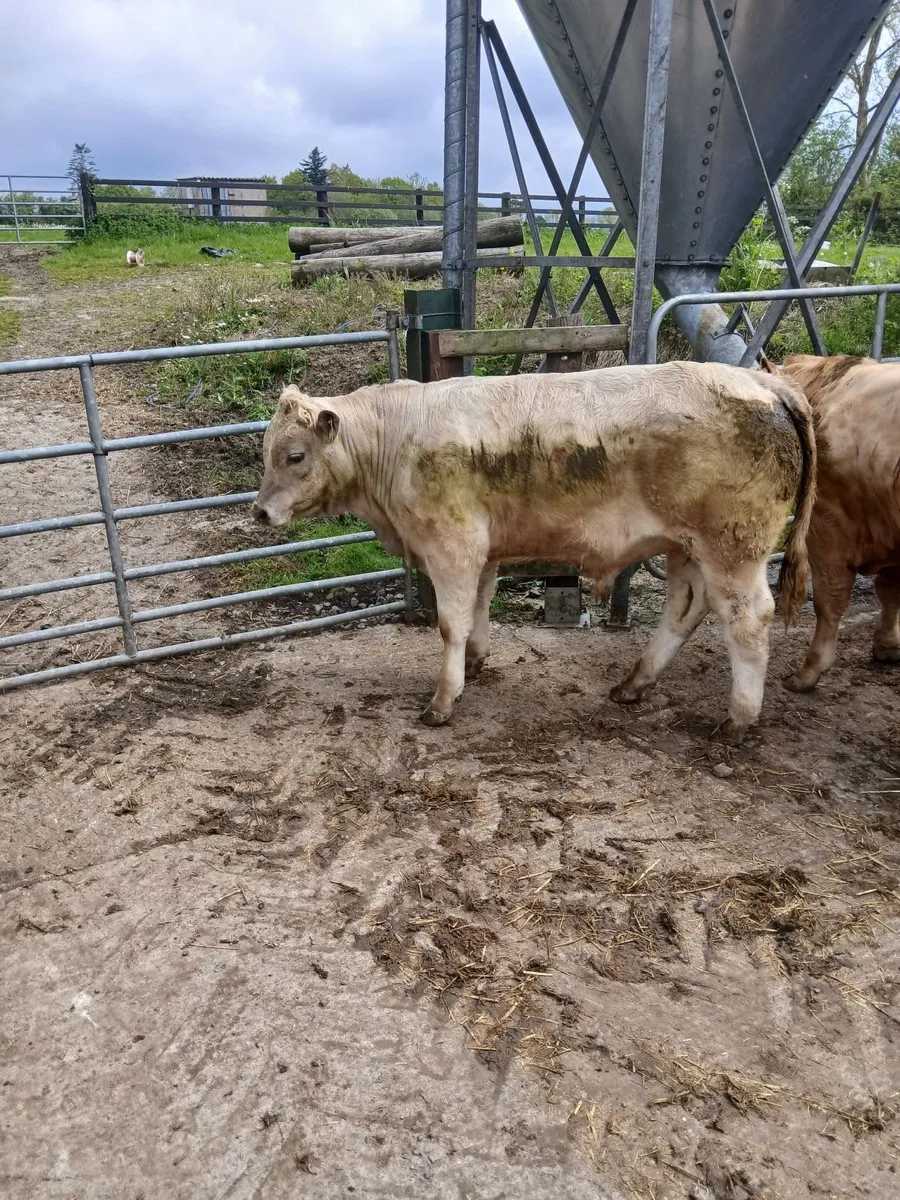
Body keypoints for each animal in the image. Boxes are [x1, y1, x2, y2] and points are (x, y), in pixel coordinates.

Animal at [252, 362, 815, 742]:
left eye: (295, 455)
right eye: (266, 453)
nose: (259, 512)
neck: (396, 437)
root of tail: (763, 382)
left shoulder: (452, 547)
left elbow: (450, 623)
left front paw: (443, 699)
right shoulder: (482, 552)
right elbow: (478, 609)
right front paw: (474, 664)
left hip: (732, 547)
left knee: (747, 619)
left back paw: (737, 718)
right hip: (688, 548)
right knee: (686, 607)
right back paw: (634, 683)